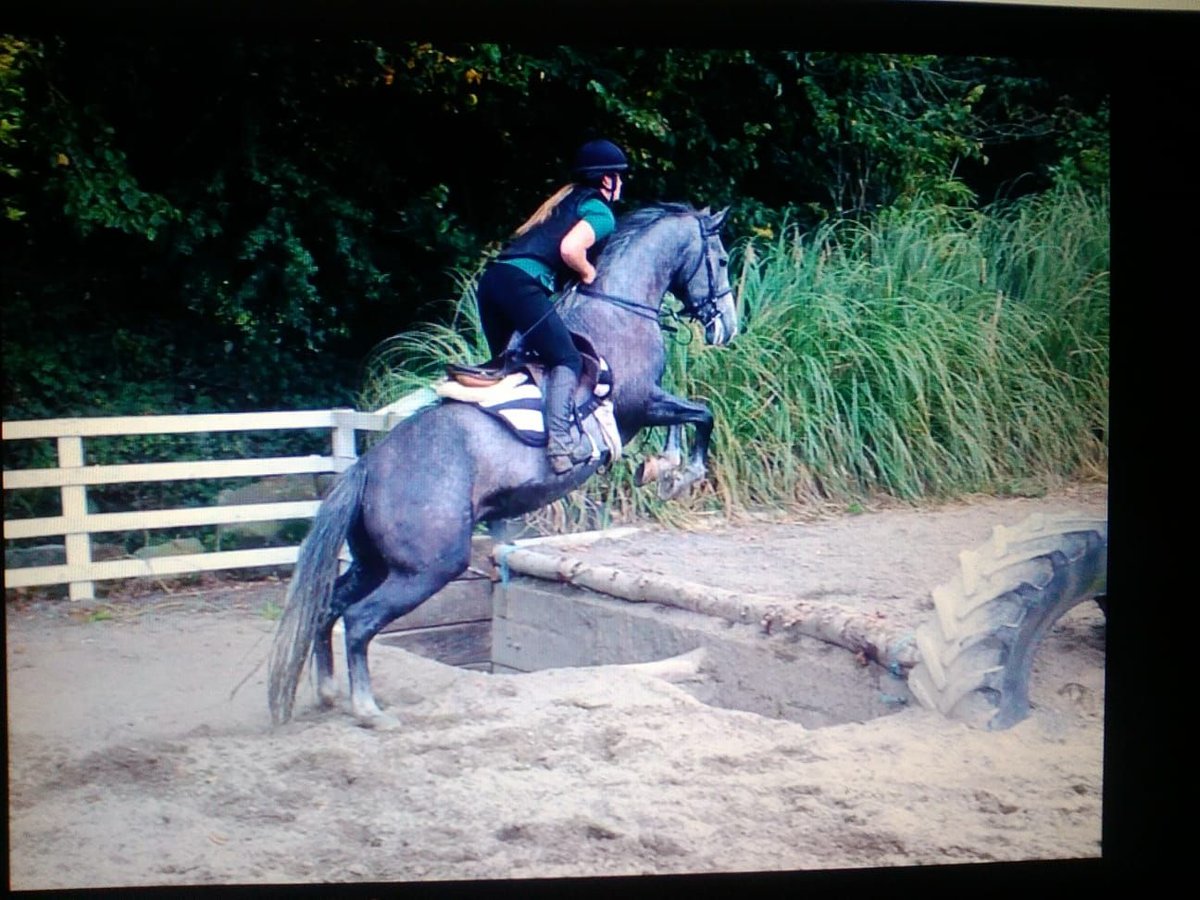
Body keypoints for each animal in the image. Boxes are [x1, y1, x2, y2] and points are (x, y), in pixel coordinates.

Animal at [270, 200, 739, 729]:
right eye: (722, 261)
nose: (727, 326)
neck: (618, 306)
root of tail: (366, 468)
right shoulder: (640, 403)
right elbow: (701, 413)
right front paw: (681, 473)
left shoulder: (648, 405)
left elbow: (689, 416)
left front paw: (662, 470)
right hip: (428, 568)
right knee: (359, 620)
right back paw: (369, 709)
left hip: (375, 562)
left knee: (328, 607)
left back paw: (329, 692)